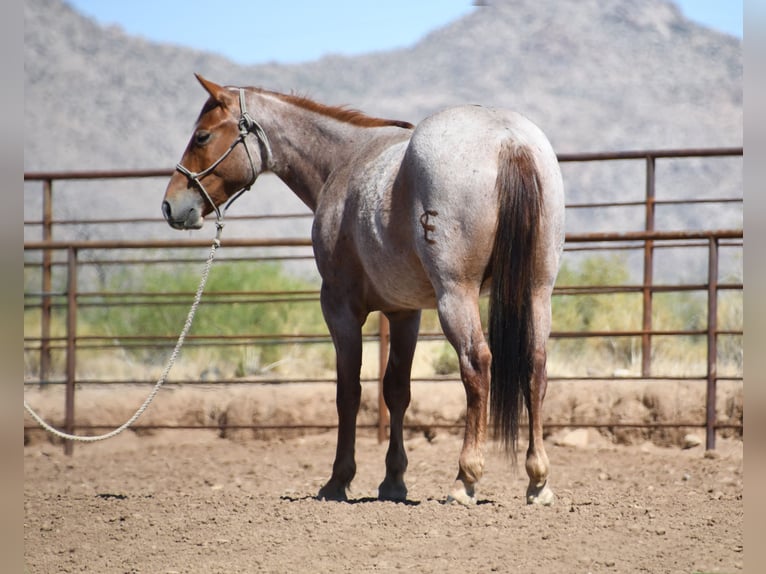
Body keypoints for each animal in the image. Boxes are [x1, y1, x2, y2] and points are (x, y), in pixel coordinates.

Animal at [162, 74, 565, 506]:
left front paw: (338, 480)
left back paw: (466, 479)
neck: (346, 161)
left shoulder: (339, 309)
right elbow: (396, 391)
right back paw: (538, 480)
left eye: (202, 136)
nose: (171, 205)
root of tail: (509, 140)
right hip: (537, 292)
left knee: (476, 364)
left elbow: (349, 393)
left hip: (457, 295)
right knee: (535, 365)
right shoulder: (405, 313)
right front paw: (393, 481)